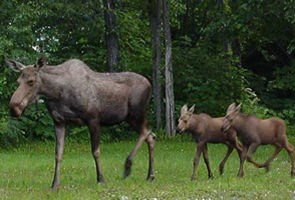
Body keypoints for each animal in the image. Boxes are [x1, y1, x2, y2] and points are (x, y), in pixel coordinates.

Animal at [5, 57, 156, 189]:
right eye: (18, 81)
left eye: (31, 81)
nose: (14, 108)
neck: (55, 93)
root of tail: (150, 84)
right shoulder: (59, 122)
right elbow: (58, 154)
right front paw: (55, 184)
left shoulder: (93, 119)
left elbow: (96, 151)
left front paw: (100, 179)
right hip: (131, 118)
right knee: (150, 136)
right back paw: (150, 176)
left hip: (136, 114)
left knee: (146, 132)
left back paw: (128, 167)